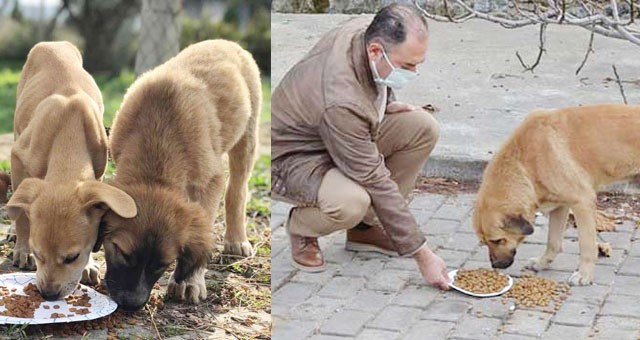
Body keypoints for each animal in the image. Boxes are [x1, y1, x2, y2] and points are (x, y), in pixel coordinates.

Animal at [5, 42, 136, 300]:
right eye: (38, 254)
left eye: (72, 257)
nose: (47, 294)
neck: (68, 131)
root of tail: (54, 43)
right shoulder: (18, 158)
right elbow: (23, 215)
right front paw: (22, 249)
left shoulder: (98, 173)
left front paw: (88, 266)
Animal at [102, 39, 260, 310]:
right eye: (122, 253)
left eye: (162, 265)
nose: (132, 304)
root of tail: (227, 42)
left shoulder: (209, 180)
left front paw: (189, 281)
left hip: (247, 135)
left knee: (237, 190)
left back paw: (236, 239)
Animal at [472, 105, 640, 286]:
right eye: (483, 242)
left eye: (497, 240)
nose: (495, 265)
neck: (526, 162)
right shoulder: (560, 207)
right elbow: (553, 242)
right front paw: (542, 263)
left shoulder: (583, 203)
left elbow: (587, 246)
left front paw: (584, 275)